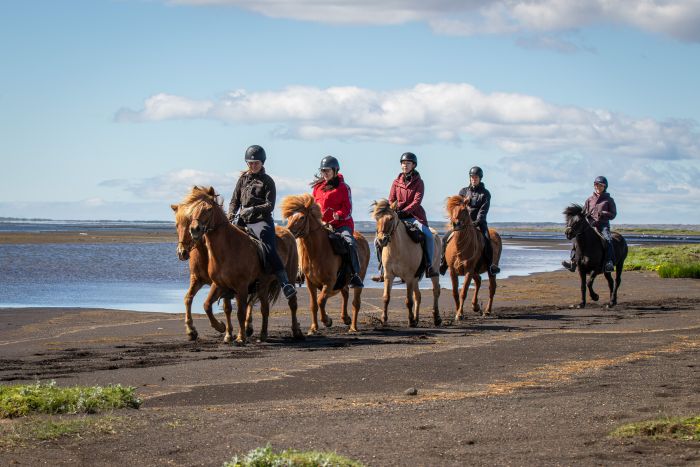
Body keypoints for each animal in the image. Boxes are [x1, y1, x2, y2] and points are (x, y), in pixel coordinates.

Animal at [183, 187, 304, 348]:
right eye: (192, 211)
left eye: (208, 209)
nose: (194, 229)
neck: (228, 248)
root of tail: (288, 232)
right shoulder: (219, 284)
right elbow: (207, 305)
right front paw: (221, 328)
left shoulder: (241, 287)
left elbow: (240, 311)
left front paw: (240, 338)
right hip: (263, 285)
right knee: (265, 309)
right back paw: (263, 335)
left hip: (289, 277)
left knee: (292, 303)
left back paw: (297, 332)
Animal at [280, 195, 372, 336]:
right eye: (290, 217)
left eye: (302, 217)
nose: (288, 232)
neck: (318, 251)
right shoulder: (310, 283)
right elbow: (314, 304)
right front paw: (313, 328)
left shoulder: (329, 282)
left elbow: (321, 300)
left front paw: (327, 321)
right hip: (343, 280)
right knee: (345, 294)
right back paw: (345, 318)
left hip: (359, 278)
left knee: (356, 302)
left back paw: (353, 327)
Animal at [370, 199, 440, 328]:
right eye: (377, 218)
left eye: (391, 218)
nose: (381, 240)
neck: (397, 248)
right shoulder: (389, 275)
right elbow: (386, 297)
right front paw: (384, 320)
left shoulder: (409, 277)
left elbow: (408, 301)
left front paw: (410, 320)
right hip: (416, 277)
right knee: (418, 296)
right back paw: (417, 319)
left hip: (433, 272)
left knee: (436, 291)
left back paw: (436, 318)